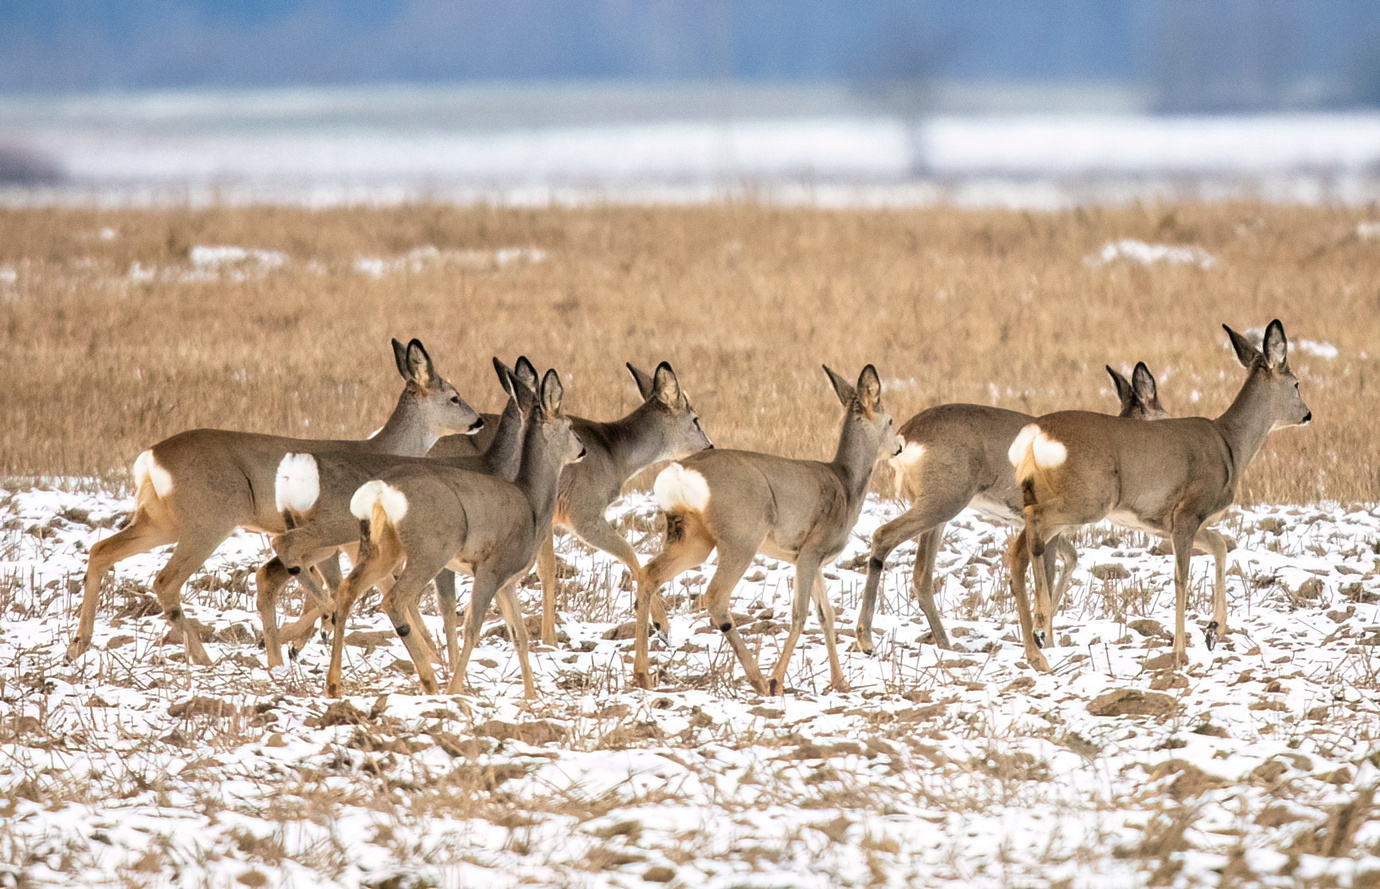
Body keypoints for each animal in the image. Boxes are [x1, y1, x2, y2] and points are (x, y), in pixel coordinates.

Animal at [70, 340, 483, 668]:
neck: (382, 447)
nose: (478, 420)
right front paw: (429, 654)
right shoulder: (348, 539)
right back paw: (204, 657)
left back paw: (78, 645)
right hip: (209, 520)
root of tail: (149, 458)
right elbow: (373, 588)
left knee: (101, 550)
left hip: (160, 520)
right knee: (165, 580)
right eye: (454, 396)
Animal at [327, 364, 582, 698]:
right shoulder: (490, 569)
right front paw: (456, 689)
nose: (583, 449)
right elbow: (472, 628)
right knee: (395, 599)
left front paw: (530, 697)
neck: (531, 501)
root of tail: (381, 491)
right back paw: (430, 682)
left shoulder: (507, 583)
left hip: (381, 548)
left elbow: (520, 636)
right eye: (570, 425)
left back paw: (333, 684)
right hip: (431, 551)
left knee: (347, 590)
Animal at [632, 364, 899, 698]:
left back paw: (643, 674)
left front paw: (840, 683)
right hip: (741, 538)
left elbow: (826, 615)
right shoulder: (811, 550)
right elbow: (800, 614)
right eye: (891, 420)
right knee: (715, 596)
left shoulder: (810, 559)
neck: (846, 483)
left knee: (648, 574)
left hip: (691, 538)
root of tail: (680, 471)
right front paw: (777, 681)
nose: (900, 446)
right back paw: (758, 679)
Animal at [855, 358, 1170, 651]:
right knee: (884, 536)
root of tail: (906, 436)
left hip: (938, 510)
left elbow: (1069, 560)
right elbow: (1050, 575)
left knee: (921, 575)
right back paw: (865, 639)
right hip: (944, 500)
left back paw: (946, 645)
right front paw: (1045, 641)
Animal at [1010, 323, 1308, 670]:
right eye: (1297, 383)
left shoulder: (1166, 521)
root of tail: (1035, 435)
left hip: (1042, 494)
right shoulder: (1188, 511)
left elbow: (1219, 546)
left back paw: (1036, 653)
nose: (1307, 414)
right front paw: (1180, 653)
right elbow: (1182, 577)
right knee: (1033, 522)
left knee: (1015, 551)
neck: (1230, 446)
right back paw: (1041, 626)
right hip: (1090, 498)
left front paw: (1213, 630)